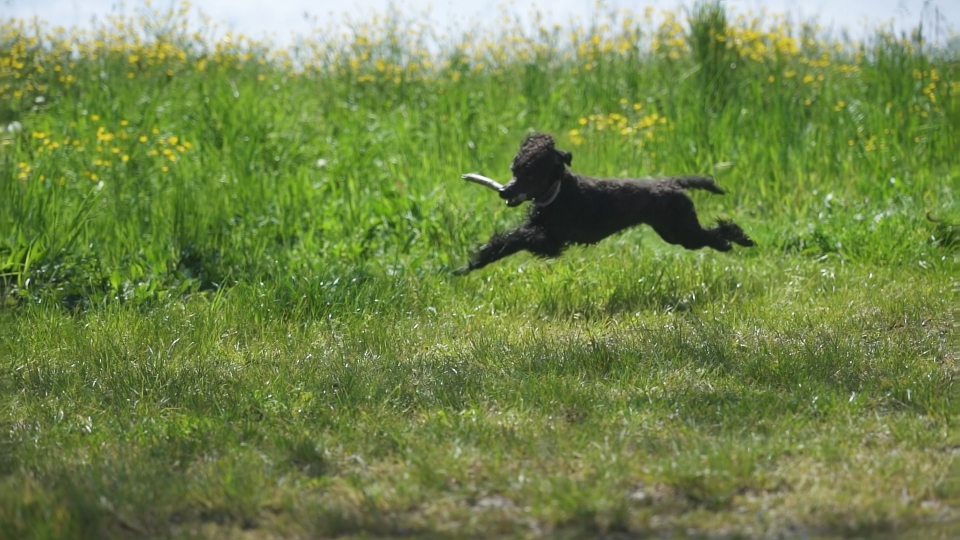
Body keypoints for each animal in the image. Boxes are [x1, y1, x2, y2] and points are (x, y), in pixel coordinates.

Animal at [454, 131, 752, 274]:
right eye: (514, 169)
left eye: (530, 173)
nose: (505, 191)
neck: (559, 193)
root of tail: (672, 182)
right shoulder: (543, 231)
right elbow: (502, 244)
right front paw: (471, 265)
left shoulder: (552, 240)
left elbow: (518, 238)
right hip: (673, 232)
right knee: (708, 236)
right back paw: (731, 242)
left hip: (681, 229)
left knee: (714, 233)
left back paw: (737, 239)